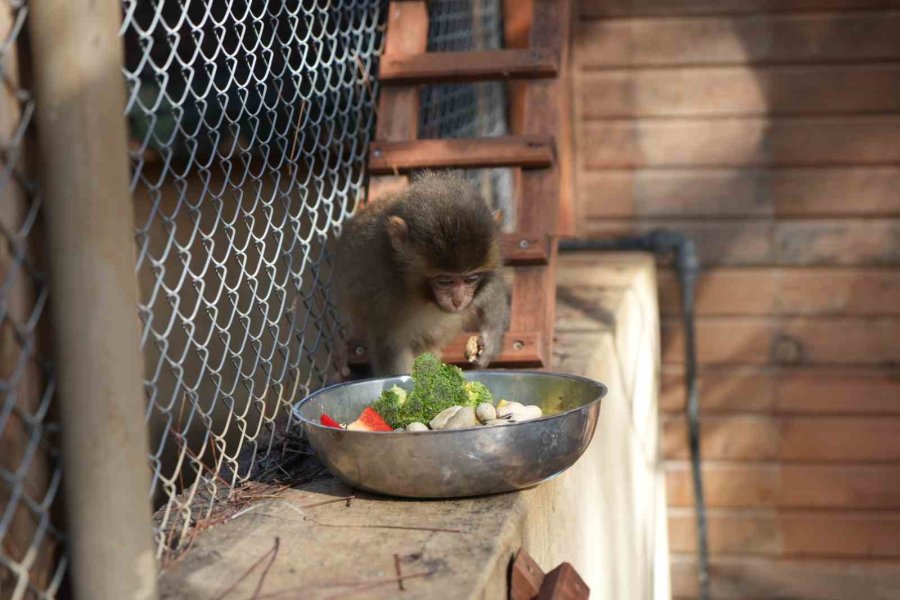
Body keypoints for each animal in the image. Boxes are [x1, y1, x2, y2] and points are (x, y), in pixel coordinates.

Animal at [334, 171, 510, 376]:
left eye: (470, 279)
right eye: (445, 281)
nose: (457, 301)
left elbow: (493, 287)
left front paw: (491, 338)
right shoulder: (379, 292)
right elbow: (390, 345)